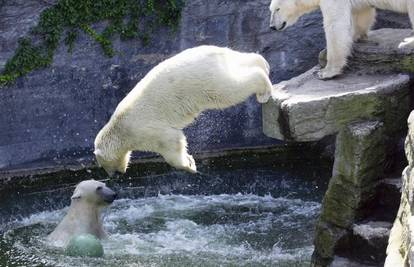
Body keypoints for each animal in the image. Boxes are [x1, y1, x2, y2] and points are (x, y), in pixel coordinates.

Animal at [95, 45, 274, 176]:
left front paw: (189, 166)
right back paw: (263, 63)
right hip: (222, 63)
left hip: (207, 81)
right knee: (241, 62)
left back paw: (263, 91)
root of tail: (215, 52)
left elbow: (172, 142)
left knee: (231, 90)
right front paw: (190, 159)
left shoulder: (144, 130)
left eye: (103, 164)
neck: (118, 129)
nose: (113, 175)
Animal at [268, 0, 414, 79]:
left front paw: (326, 72)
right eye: (271, 10)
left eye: (277, 9)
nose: (272, 26)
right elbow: (361, 12)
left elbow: (335, 24)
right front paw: (356, 37)